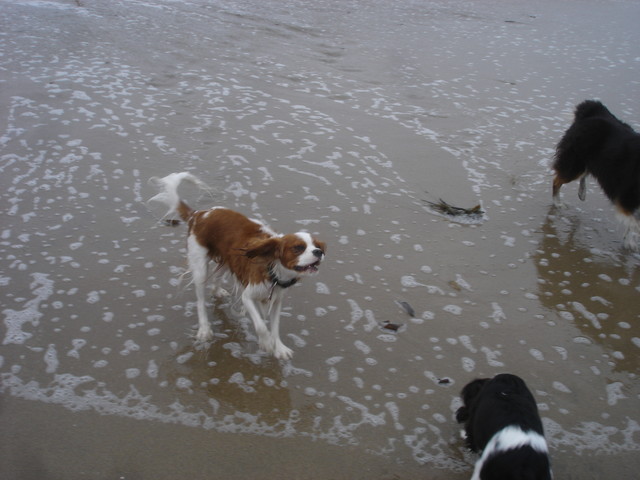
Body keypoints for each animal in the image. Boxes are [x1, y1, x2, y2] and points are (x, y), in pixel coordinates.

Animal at [149, 173, 324, 360]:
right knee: (200, 301)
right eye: (298, 248)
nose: (319, 252)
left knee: (217, 277)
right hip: (200, 267)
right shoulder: (248, 296)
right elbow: (261, 326)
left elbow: (275, 327)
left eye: (316, 245)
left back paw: (217, 291)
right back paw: (204, 329)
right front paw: (266, 343)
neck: (273, 270)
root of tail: (199, 214)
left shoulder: (276, 300)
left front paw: (279, 348)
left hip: (227, 260)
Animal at [552, 100, 640, 251]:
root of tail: (593, 109)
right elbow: (635, 224)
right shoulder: (626, 197)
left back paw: (582, 193)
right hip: (576, 163)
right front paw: (630, 241)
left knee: (582, 175)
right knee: (556, 180)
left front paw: (629, 241)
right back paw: (558, 203)